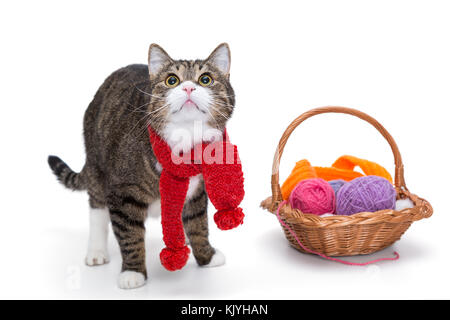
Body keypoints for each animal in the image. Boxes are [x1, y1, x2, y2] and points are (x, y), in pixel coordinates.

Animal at [48, 43, 237, 290]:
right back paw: (97, 250)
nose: (188, 87)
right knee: (97, 209)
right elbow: (130, 235)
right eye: (172, 80)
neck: (184, 140)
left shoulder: (197, 190)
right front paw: (133, 272)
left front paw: (206, 256)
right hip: (97, 164)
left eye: (205, 79)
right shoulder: (123, 193)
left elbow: (199, 224)